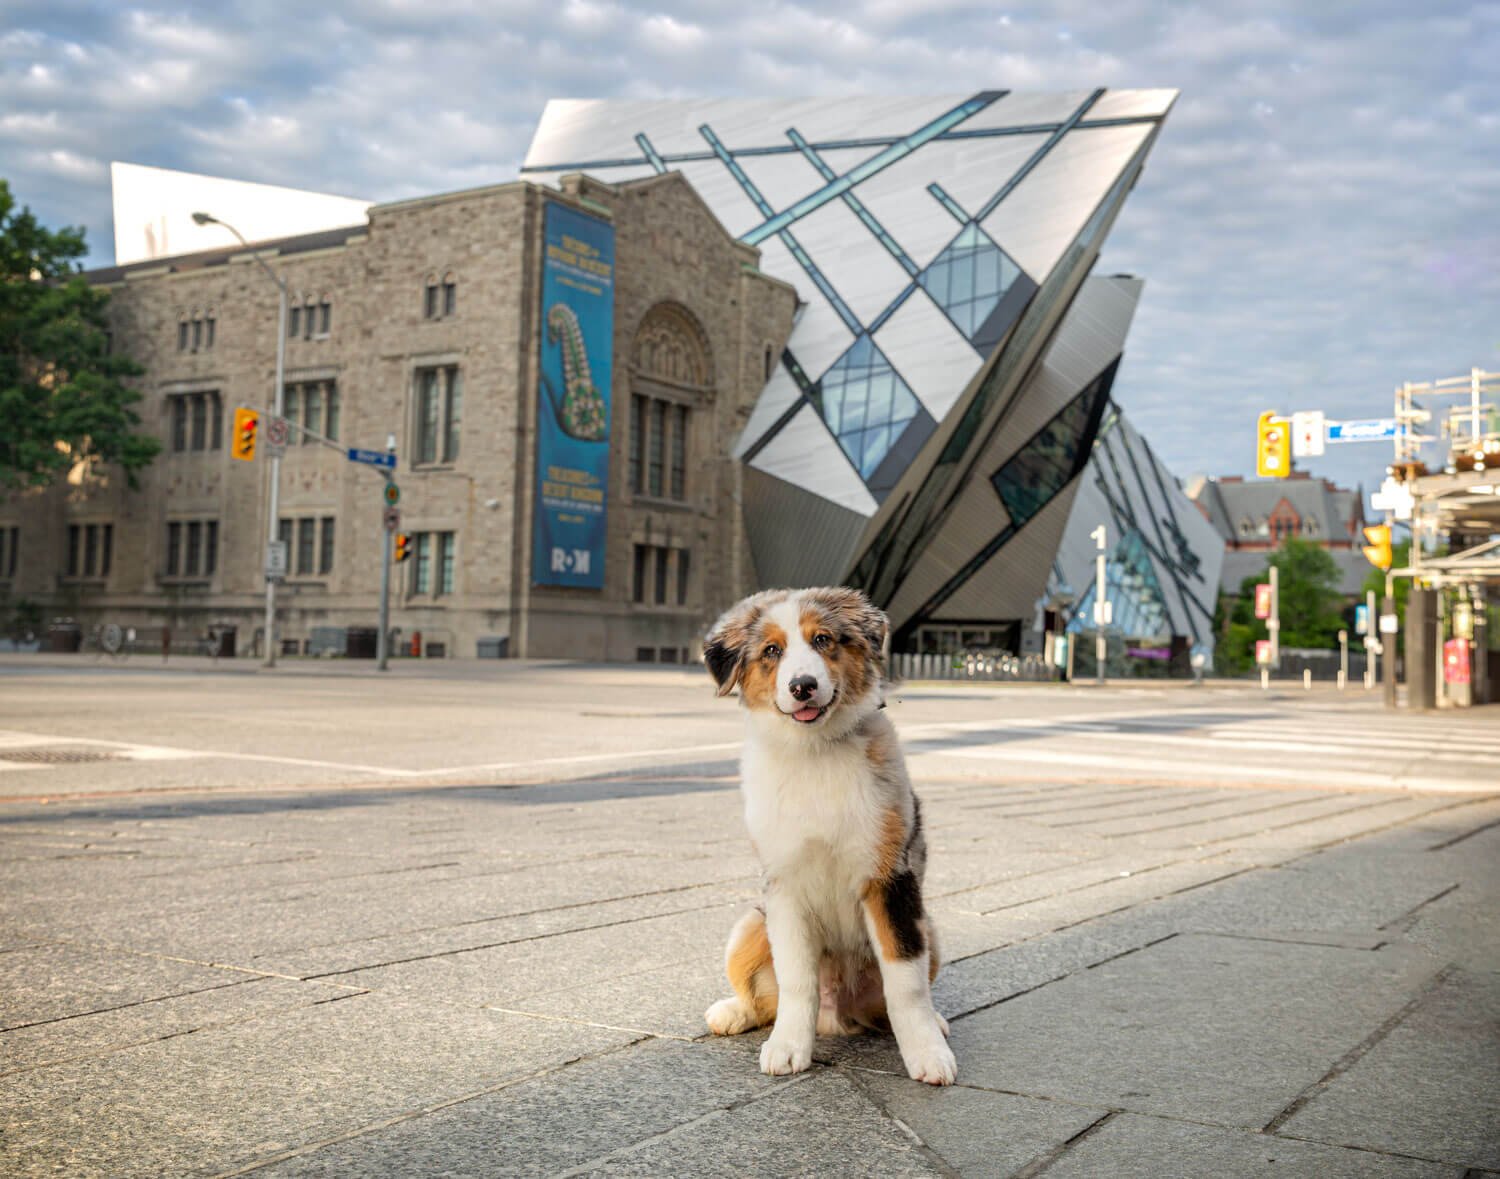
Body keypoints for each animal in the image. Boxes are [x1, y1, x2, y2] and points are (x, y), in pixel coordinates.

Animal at [702, 585, 960, 1086]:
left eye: (822, 640)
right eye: (772, 651)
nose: (802, 685)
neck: (814, 753)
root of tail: (837, 1016)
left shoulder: (889, 879)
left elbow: (905, 982)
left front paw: (927, 1054)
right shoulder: (784, 886)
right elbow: (795, 979)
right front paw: (788, 1047)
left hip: (929, 927)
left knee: (899, 996)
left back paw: (935, 1023)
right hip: (749, 925)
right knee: (763, 998)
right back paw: (733, 1012)